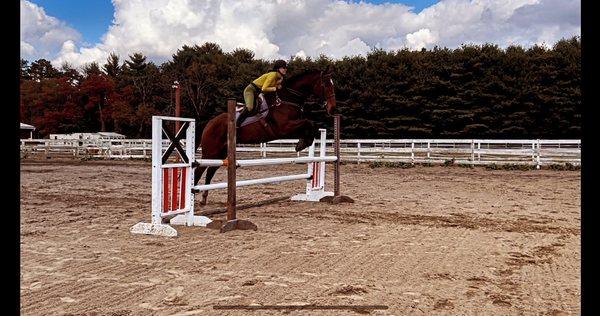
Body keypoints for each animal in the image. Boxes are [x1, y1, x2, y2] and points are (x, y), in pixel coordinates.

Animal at [196, 65, 338, 206]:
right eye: (325, 85)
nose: (333, 109)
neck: (287, 100)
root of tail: (209, 123)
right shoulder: (284, 127)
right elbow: (309, 122)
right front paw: (301, 144)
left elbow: (311, 124)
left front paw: (302, 143)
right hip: (210, 151)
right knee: (199, 170)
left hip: (222, 153)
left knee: (210, 171)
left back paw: (203, 198)